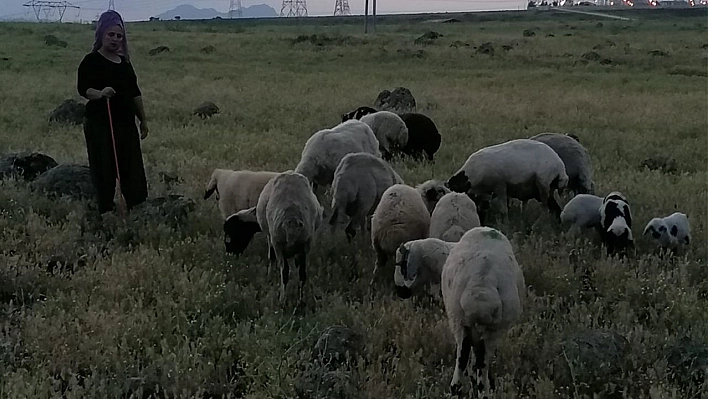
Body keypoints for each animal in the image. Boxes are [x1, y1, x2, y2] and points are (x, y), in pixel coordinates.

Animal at [221, 172, 324, 306]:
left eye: (232, 233)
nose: (230, 255)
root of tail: (292, 218)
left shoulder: (270, 237)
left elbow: (272, 257)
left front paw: (269, 277)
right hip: (305, 243)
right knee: (302, 273)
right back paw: (300, 301)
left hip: (278, 242)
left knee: (285, 271)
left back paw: (282, 300)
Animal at [442, 227, 524, 398]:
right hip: (488, 330)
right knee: (480, 361)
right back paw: (483, 390)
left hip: (458, 318)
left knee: (463, 356)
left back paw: (456, 389)